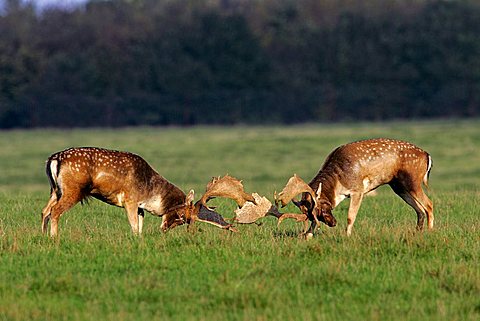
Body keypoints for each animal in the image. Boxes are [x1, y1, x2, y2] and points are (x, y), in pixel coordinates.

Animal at [39, 147, 255, 235]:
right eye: (182, 217)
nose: (164, 229)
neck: (150, 194)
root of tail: (53, 159)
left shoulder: (140, 206)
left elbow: (140, 225)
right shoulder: (130, 199)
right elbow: (134, 226)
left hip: (55, 190)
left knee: (44, 211)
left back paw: (42, 236)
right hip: (73, 189)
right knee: (55, 212)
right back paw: (54, 238)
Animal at [234, 138, 434, 238]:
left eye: (322, 209)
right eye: (312, 215)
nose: (333, 223)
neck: (338, 181)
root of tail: (427, 155)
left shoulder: (358, 189)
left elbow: (351, 216)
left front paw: (347, 235)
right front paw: (308, 235)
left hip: (412, 181)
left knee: (429, 204)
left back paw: (430, 231)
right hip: (398, 186)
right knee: (419, 210)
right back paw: (418, 232)